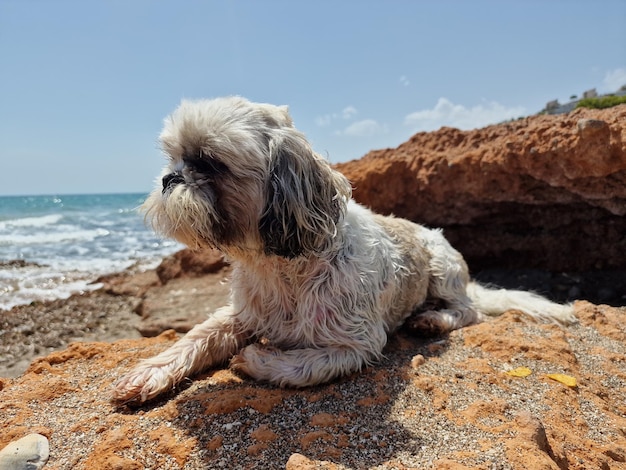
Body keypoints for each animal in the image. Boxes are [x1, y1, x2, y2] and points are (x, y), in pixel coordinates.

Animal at [111, 96, 572, 404]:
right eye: (174, 158)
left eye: (209, 163)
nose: (170, 178)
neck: (280, 267)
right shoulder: (242, 314)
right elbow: (197, 336)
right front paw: (150, 373)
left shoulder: (356, 345)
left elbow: (302, 366)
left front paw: (254, 358)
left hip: (442, 265)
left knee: (468, 311)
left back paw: (433, 319)